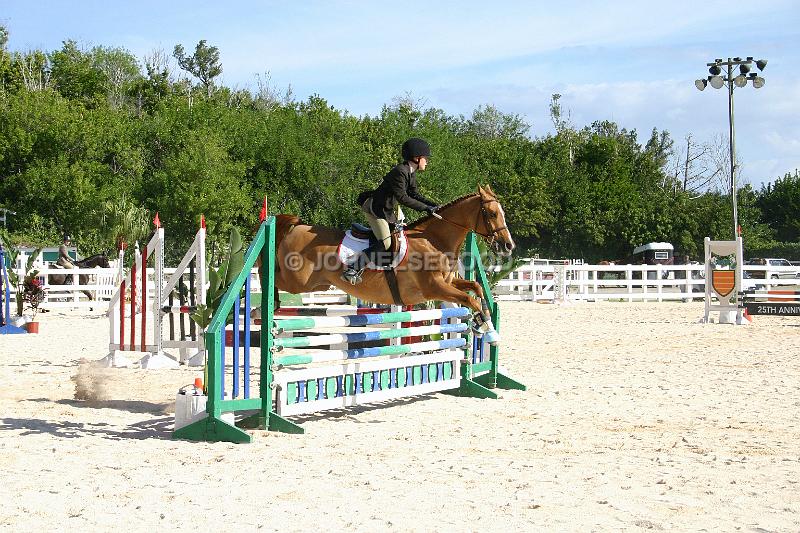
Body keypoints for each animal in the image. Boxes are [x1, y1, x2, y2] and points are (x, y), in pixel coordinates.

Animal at [272, 184, 516, 336]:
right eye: (492, 213)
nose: (508, 245)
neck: (434, 240)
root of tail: (297, 226)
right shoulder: (434, 288)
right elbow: (469, 299)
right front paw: (486, 329)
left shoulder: (447, 283)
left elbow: (476, 287)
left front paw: (483, 321)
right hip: (298, 281)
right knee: (270, 274)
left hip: (317, 284)